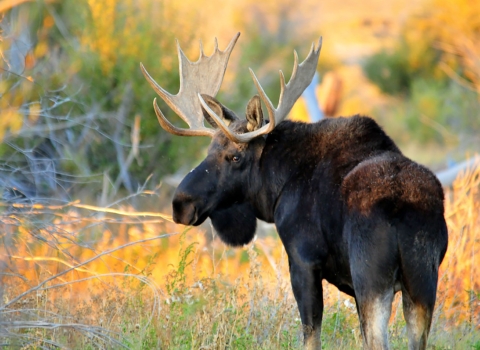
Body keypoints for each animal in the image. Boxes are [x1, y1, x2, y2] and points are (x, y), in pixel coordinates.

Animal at [141, 33, 448, 350]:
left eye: (235, 157)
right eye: (209, 150)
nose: (181, 204)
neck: (277, 186)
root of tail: (403, 208)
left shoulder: (302, 261)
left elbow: (310, 336)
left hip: (372, 279)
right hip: (423, 282)